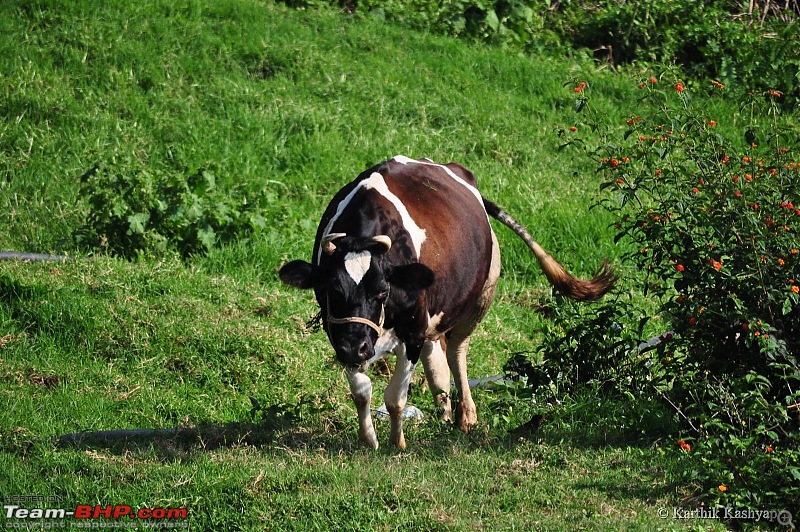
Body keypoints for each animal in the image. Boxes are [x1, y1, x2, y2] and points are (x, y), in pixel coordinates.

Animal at [278, 155, 616, 448]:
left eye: (382, 292)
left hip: (482, 295)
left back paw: (465, 414)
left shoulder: (412, 329)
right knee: (436, 351)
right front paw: (369, 439)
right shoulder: (342, 333)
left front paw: (397, 442)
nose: (355, 348)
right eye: (332, 291)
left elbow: (394, 397)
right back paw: (442, 407)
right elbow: (362, 392)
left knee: (456, 351)